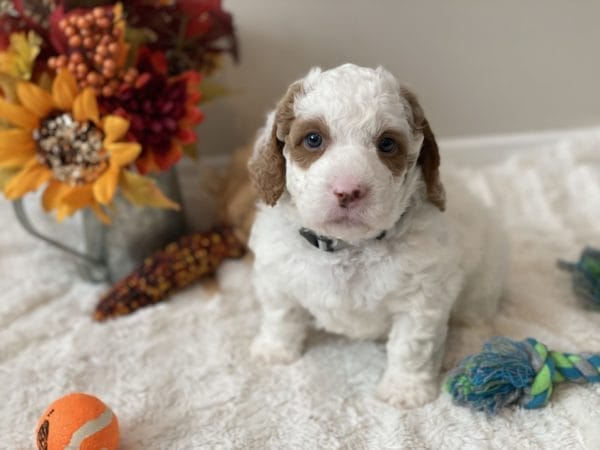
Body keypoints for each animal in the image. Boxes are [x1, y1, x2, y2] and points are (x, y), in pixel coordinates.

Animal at [247, 65, 506, 410]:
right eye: (313, 139)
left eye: (387, 144)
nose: (347, 191)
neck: (349, 248)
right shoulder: (276, 275)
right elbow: (280, 314)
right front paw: (274, 351)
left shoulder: (421, 298)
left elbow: (410, 347)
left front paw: (404, 389)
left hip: (484, 274)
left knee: (475, 317)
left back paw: (465, 347)